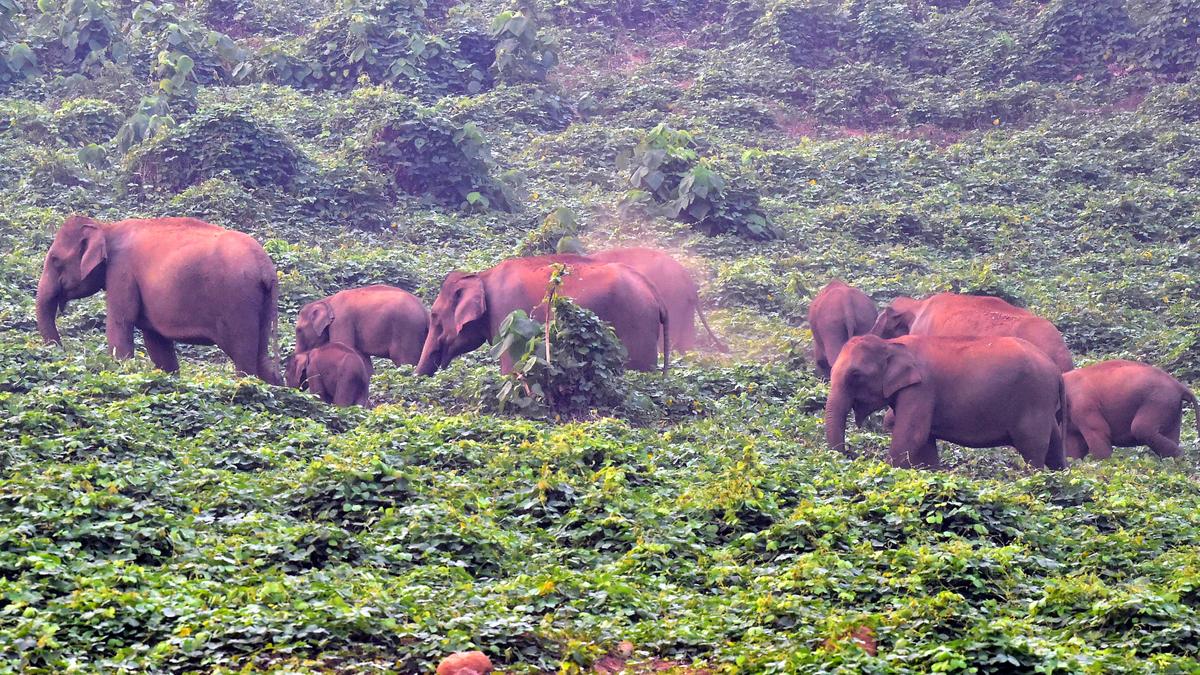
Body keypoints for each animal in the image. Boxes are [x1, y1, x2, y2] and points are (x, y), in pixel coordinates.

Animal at [36, 214, 281, 384]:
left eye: (55, 260)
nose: (62, 352)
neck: (107, 228)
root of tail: (266, 269)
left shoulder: (122, 271)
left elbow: (120, 323)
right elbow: (156, 341)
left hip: (238, 301)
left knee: (243, 356)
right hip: (263, 304)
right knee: (261, 357)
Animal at [296, 285, 429, 367]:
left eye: (298, 330)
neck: (327, 301)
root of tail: (425, 311)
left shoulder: (341, 321)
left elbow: (343, 346)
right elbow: (363, 358)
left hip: (407, 330)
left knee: (405, 361)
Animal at [416, 255, 669, 375]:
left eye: (435, 316)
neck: (481, 276)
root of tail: (654, 291)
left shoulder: (507, 314)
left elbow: (511, 367)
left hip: (637, 324)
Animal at [825, 334, 1067, 470]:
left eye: (855, 375)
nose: (850, 456)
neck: (891, 344)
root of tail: (1057, 372)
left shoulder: (922, 389)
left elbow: (912, 435)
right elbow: (925, 442)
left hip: (1035, 399)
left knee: (1032, 448)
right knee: (1054, 444)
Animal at [1063, 360, 1198, 460]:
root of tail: (1180, 386)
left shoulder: (1083, 405)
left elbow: (1100, 431)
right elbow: (1074, 446)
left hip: (1159, 401)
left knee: (1141, 429)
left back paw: (1179, 457)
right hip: (1172, 408)